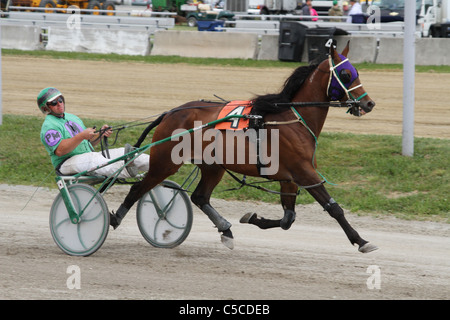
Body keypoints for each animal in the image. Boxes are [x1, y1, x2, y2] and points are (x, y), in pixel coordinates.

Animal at [110, 42, 378, 252]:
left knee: (199, 197)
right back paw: (113, 218)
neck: (294, 119)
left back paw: (226, 230)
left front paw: (252, 217)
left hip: (213, 165)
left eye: (356, 72)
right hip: (166, 162)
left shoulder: (289, 177)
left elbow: (288, 219)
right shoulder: (304, 172)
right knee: (138, 189)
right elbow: (333, 208)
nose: (369, 103)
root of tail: (171, 112)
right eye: (346, 74)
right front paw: (361, 240)